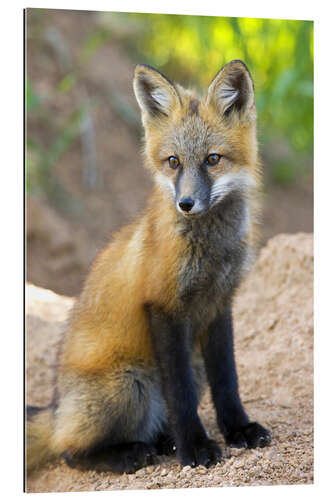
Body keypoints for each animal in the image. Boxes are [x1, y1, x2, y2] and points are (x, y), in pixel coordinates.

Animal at [26, 60, 270, 474]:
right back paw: (130, 452)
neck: (211, 253)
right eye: (173, 162)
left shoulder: (220, 305)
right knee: (68, 452)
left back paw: (162, 440)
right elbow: (181, 395)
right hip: (130, 383)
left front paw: (239, 429)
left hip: (190, 364)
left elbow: (228, 381)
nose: (186, 203)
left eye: (213, 159)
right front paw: (196, 448)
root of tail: (56, 410)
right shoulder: (164, 308)